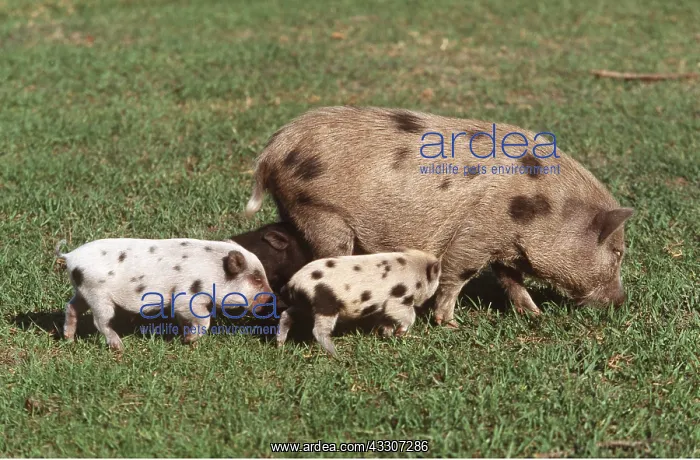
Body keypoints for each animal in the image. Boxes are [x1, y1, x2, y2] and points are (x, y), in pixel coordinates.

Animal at [55, 238, 273, 350]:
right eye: (256, 279)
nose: (271, 297)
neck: (214, 272)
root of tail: (70, 256)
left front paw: (184, 336)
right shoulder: (187, 296)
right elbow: (204, 320)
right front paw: (189, 340)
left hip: (83, 291)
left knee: (71, 307)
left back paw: (68, 339)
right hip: (98, 294)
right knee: (100, 321)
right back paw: (119, 347)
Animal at [244, 106, 634, 327]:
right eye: (617, 252)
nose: (621, 300)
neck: (538, 206)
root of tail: (274, 149)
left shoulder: (503, 241)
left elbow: (510, 278)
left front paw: (534, 314)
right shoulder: (475, 234)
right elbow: (458, 274)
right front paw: (449, 324)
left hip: (295, 209)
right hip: (322, 212)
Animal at [276, 249, 442, 356]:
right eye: (437, 279)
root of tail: (292, 282)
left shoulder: (383, 309)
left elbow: (386, 319)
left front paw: (387, 335)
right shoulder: (399, 299)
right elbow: (407, 315)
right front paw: (400, 333)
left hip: (304, 305)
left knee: (286, 314)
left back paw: (280, 344)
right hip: (325, 303)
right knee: (318, 330)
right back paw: (336, 354)